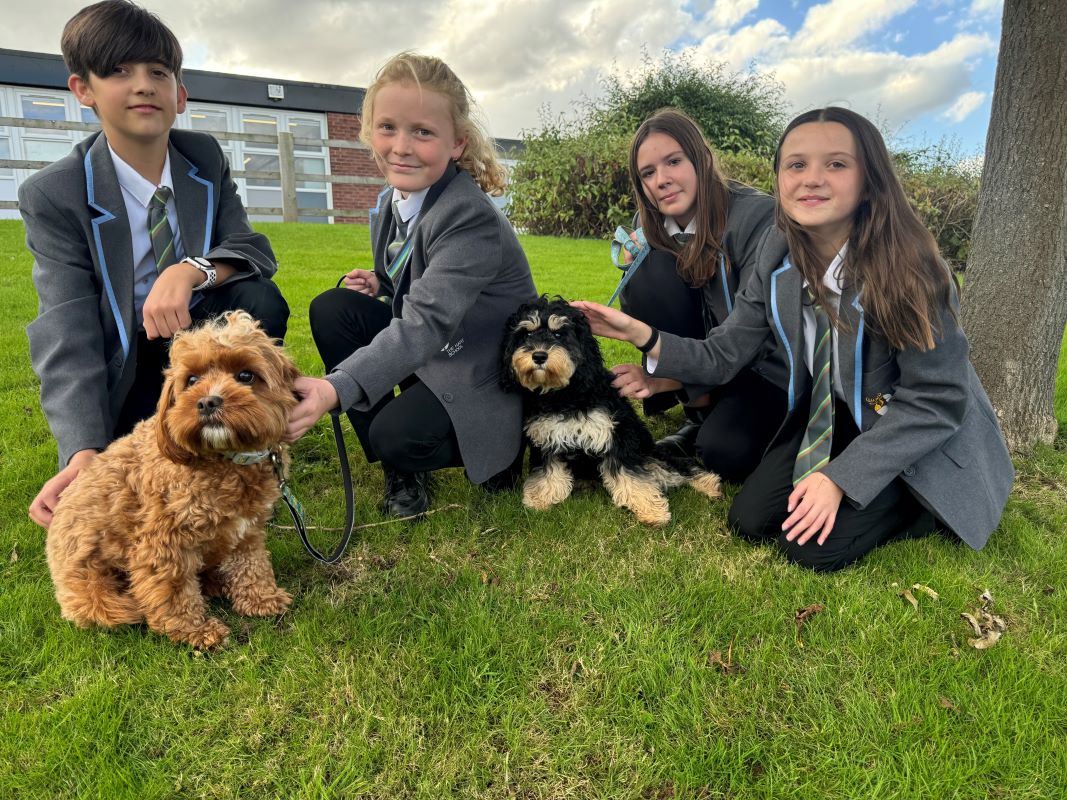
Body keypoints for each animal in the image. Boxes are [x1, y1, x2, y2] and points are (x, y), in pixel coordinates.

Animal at [46, 309, 300, 648]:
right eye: (191, 380)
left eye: (246, 376)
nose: (207, 402)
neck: (224, 457)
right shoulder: (163, 542)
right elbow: (174, 589)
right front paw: (195, 630)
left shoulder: (247, 528)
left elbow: (252, 563)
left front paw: (261, 598)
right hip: (97, 591)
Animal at [497, 294, 717, 526]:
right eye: (527, 334)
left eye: (559, 334)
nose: (539, 356)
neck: (564, 395)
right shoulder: (546, 439)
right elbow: (547, 472)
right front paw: (540, 499)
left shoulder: (616, 437)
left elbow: (632, 477)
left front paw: (651, 510)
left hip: (650, 454)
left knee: (678, 467)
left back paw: (709, 483)